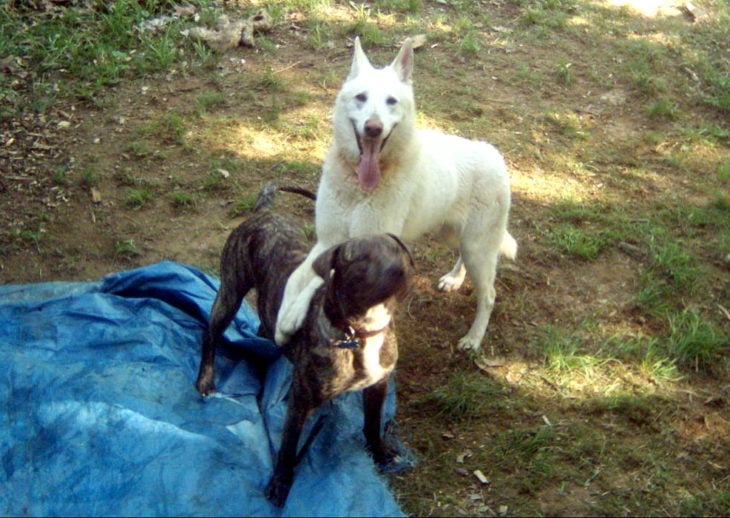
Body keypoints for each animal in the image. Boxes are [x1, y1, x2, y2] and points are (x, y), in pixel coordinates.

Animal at [193, 183, 412, 508]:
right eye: (360, 259)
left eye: (396, 250)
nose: (398, 270)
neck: (358, 333)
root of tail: (265, 213)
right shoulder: (301, 401)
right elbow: (287, 447)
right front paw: (280, 483)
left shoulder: (377, 385)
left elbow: (373, 424)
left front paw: (381, 453)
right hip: (230, 292)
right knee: (210, 334)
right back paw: (206, 379)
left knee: (264, 326)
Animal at [274, 37, 516, 354]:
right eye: (361, 98)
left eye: (391, 101)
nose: (373, 128)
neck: (359, 186)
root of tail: (494, 154)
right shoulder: (327, 240)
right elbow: (295, 278)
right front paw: (281, 318)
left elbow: (321, 279)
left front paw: (292, 316)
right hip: (455, 236)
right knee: (464, 260)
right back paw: (454, 279)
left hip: (478, 247)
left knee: (488, 296)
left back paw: (473, 339)